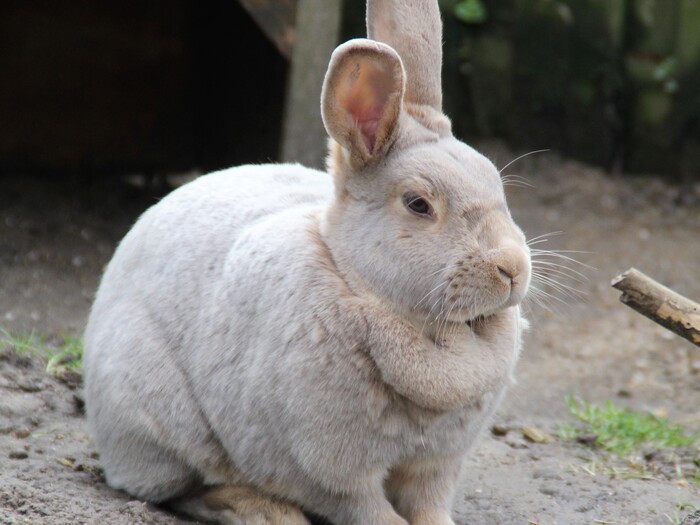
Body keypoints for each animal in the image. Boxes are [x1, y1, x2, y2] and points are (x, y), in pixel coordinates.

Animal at [82, 0, 532, 524]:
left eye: (495, 183)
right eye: (418, 204)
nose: (512, 268)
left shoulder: (437, 464)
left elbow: (430, 506)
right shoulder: (331, 472)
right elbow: (370, 510)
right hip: (157, 423)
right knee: (186, 487)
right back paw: (263, 510)